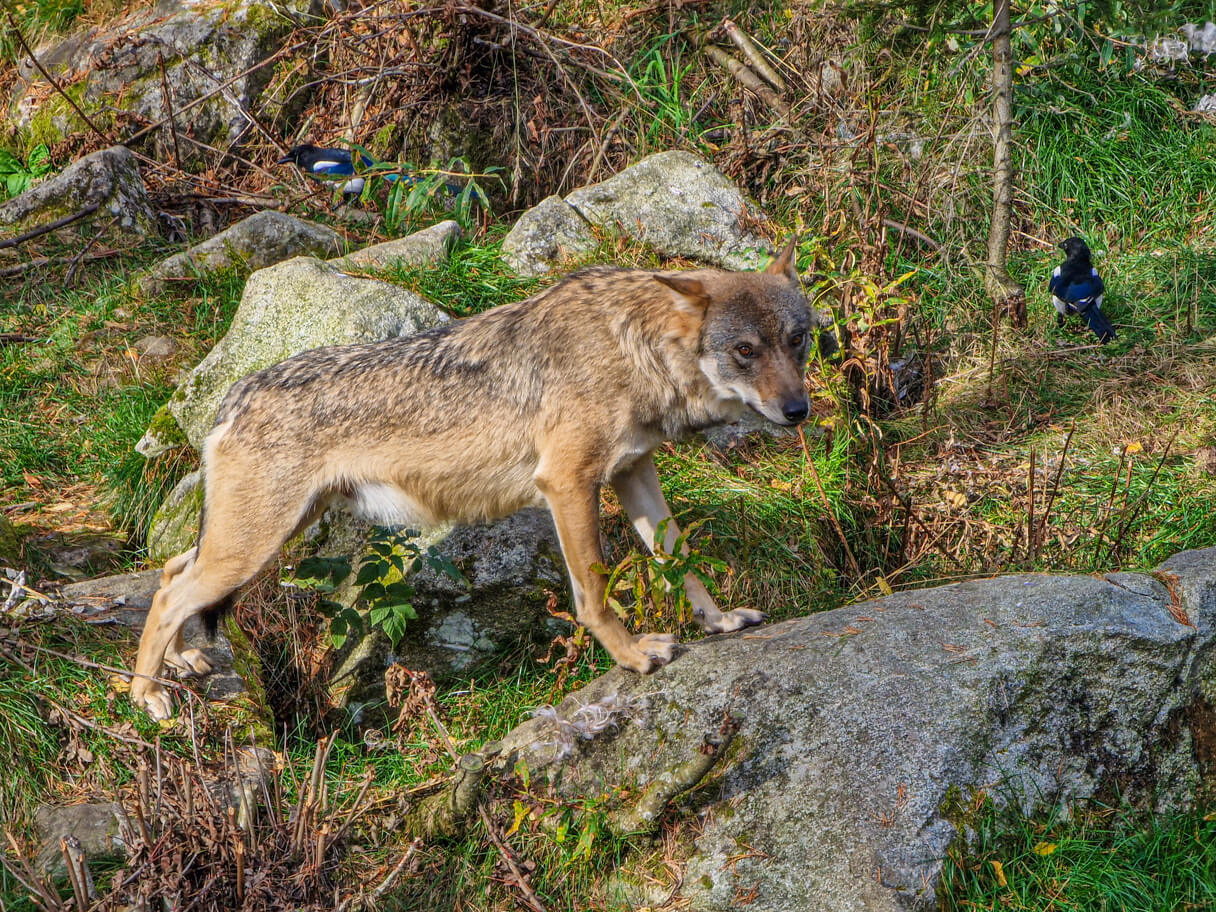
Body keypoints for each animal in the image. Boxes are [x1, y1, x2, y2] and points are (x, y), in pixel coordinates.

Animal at [133, 240, 831, 719]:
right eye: (745, 350)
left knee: (168, 571)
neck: (633, 346)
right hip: (254, 546)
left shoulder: (634, 471)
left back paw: (183, 662)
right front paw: (634, 656)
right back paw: (147, 698)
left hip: (258, 540)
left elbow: (678, 559)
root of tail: (231, 397)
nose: (798, 411)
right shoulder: (567, 483)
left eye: (797, 340)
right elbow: (594, 592)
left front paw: (720, 623)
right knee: (170, 594)